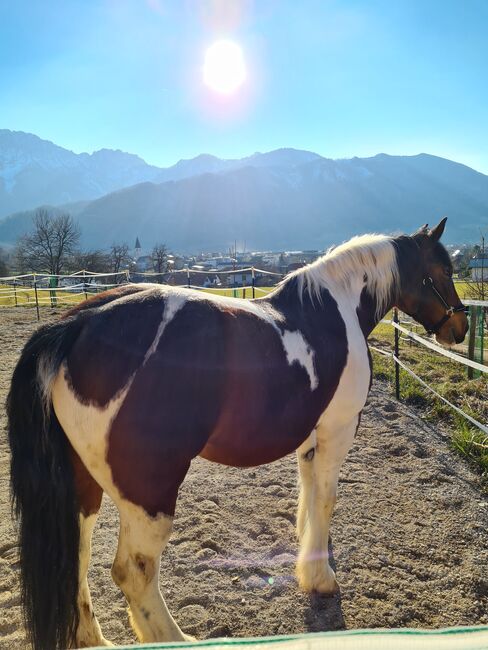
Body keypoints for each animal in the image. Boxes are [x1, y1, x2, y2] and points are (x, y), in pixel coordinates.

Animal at [5, 218, 468, 648]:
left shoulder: (310, 436)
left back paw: (94, 638)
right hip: (149, 492)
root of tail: (77, 326)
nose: (460, 329)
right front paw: (321, 577)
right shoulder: (338, 428)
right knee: (133, 571)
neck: (336, 313)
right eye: (443, 270)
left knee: (76, 555)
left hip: (82, 484)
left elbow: (309, 493)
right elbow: (327, 499)